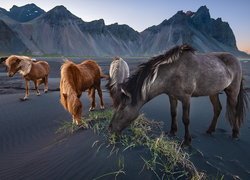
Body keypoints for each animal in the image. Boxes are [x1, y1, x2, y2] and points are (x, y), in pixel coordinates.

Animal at [109, 44, 248, 146]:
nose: (110, 129)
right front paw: (172, 131)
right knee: (217, 109)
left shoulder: (186, 98)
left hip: (233, 91)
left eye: (122, 108)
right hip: (213, 92)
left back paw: (235, 134)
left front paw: (187, 141)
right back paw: (210, 130)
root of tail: (235, 59)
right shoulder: (172, 96)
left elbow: (185, 119)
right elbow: (173, 113)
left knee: (234, 110)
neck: (173, 73)